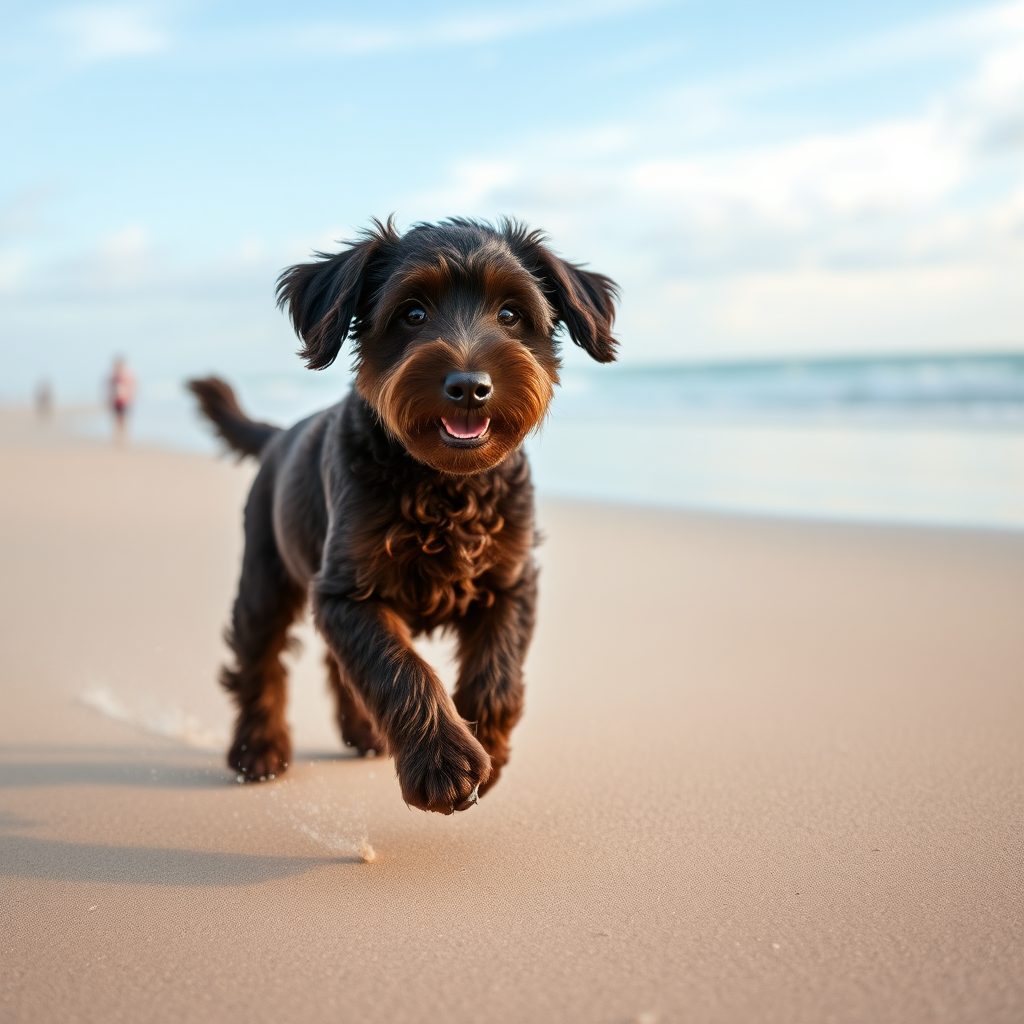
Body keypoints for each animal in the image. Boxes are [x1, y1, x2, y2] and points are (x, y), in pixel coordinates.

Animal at [189, 218, 618, 815]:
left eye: (511, 314)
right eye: (412, 314)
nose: (469, 386)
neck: (445, 485)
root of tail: (279, 436)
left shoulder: (511, 580)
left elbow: (497, 673)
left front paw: (487, 749)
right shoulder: (349, 592)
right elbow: (397, 667)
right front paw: (443, 763)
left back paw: (362, 732)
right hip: (263, 576)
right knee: (258, 662)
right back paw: (259, 750)